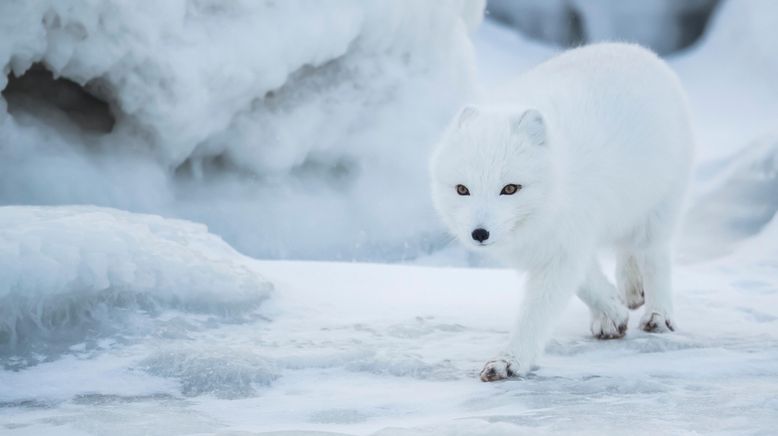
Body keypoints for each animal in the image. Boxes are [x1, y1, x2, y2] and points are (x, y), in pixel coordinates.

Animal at [430, 42, 692, 380]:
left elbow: (538, 312)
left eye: (510, 188)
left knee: (654, 257)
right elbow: (587, 282)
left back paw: (658, 315)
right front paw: (612, 313)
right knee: (626, 250)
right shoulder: (561, 239)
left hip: (659, 210)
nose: (479, 233)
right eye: (462, 189)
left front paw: (509, 361)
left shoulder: (565, 241)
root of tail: (636, 49)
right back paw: (631, 291)